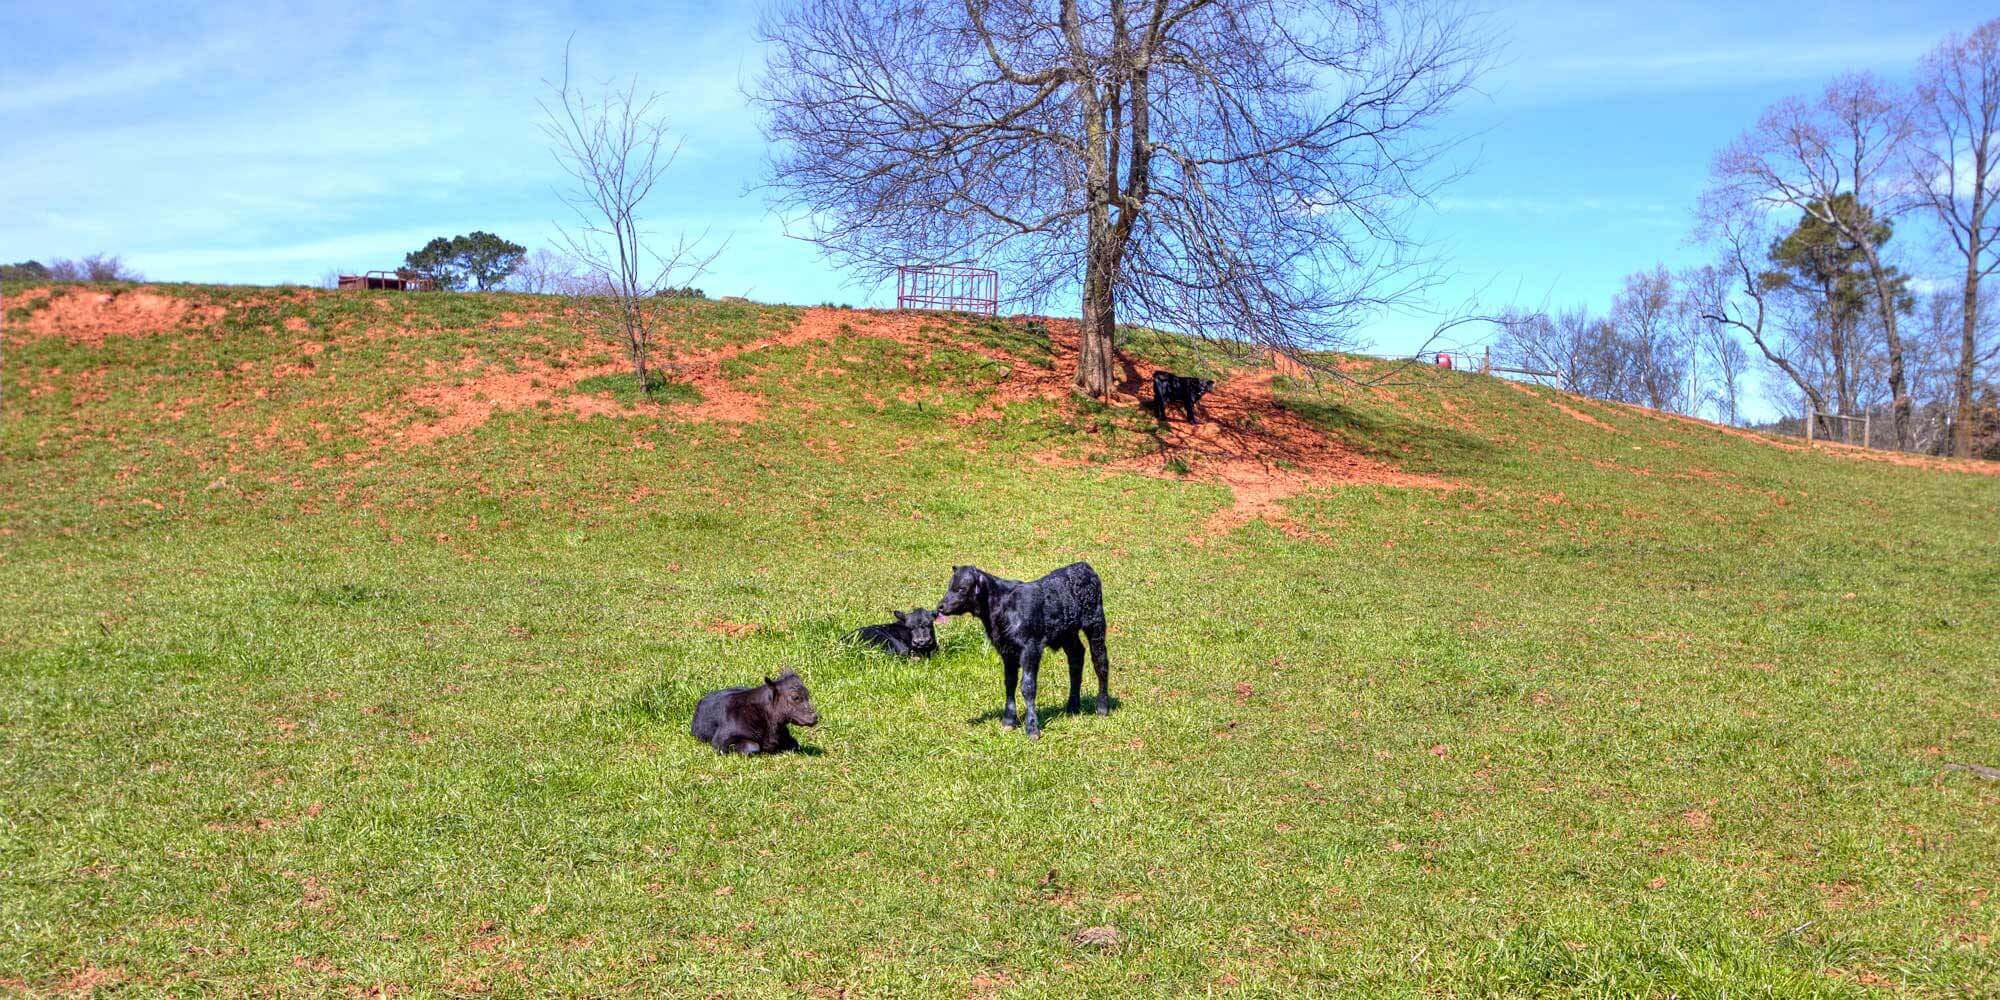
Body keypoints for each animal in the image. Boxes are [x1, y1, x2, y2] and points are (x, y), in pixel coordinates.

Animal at [936, 564, 1112, 744]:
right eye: (950, 586)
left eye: (962, 589)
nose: (940, 606)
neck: (1002, 607)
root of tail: (1083, 566)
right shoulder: (1006, 651)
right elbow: (1010, 683)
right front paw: (1008, 721)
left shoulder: (1030, 649)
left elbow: (1028, 687)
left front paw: (1032, 728)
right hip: (1067, 633)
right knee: (1076, 657)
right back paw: (1072, 706)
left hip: (1096, 623)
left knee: (1100, 662)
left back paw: (1102, 707)